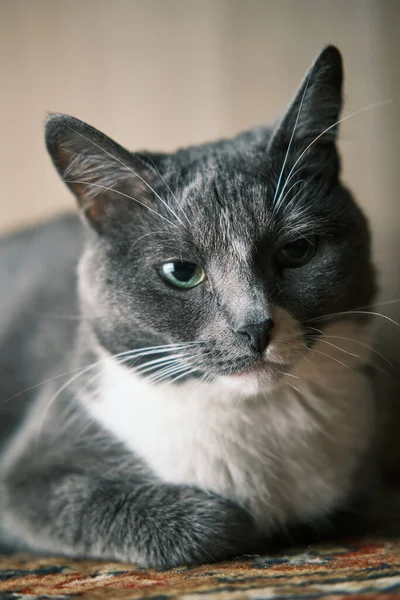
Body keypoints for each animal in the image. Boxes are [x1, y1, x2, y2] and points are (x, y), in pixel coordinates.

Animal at [0, 47, 388, 568]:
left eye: (297, 250)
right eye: (181, 272)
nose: (254, 326)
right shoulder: (27, 474)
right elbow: (200, 523)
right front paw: (229, 521)